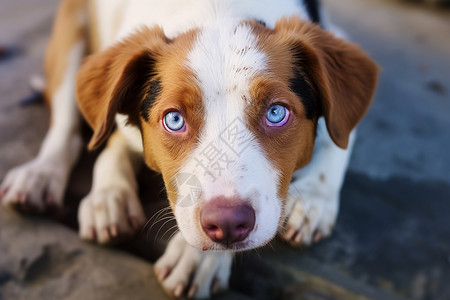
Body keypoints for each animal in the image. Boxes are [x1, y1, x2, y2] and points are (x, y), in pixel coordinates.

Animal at [0, 0, 380, 298]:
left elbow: (340, 138)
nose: (227, 224)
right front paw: (110, 196)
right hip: (71, 36)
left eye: (276, 112)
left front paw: (314, 197)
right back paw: (43, 175)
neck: (218, 10)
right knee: (67, 126)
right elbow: (111, 142)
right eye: (174, 119)